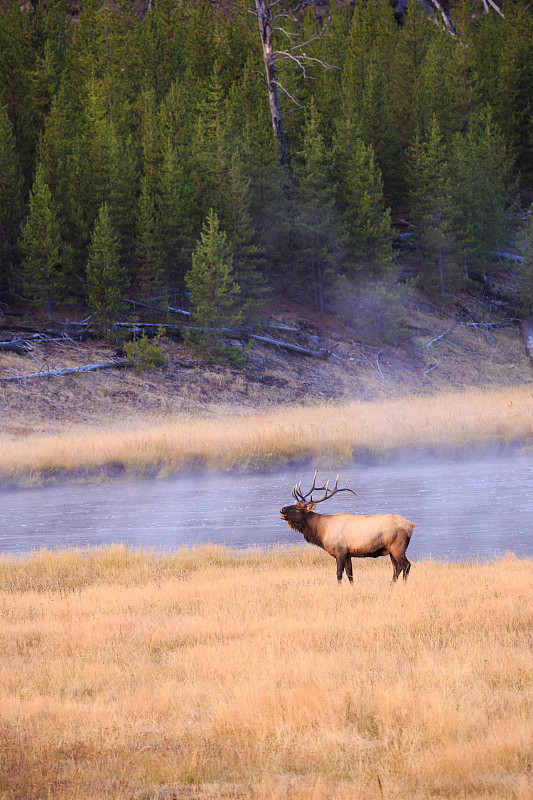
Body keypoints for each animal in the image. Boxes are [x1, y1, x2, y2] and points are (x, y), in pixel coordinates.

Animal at [280, 472, 414, 584]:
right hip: (391, 550)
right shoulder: (348, 554)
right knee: (397, 568)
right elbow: (350, 575)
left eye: (299, 508)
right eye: (295, 504)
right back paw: (391, 586)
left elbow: (339, 574)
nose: (282, 509)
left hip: (398, 547)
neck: (322, 532)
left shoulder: (340, 551)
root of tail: (411, 525)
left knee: (406, 565)